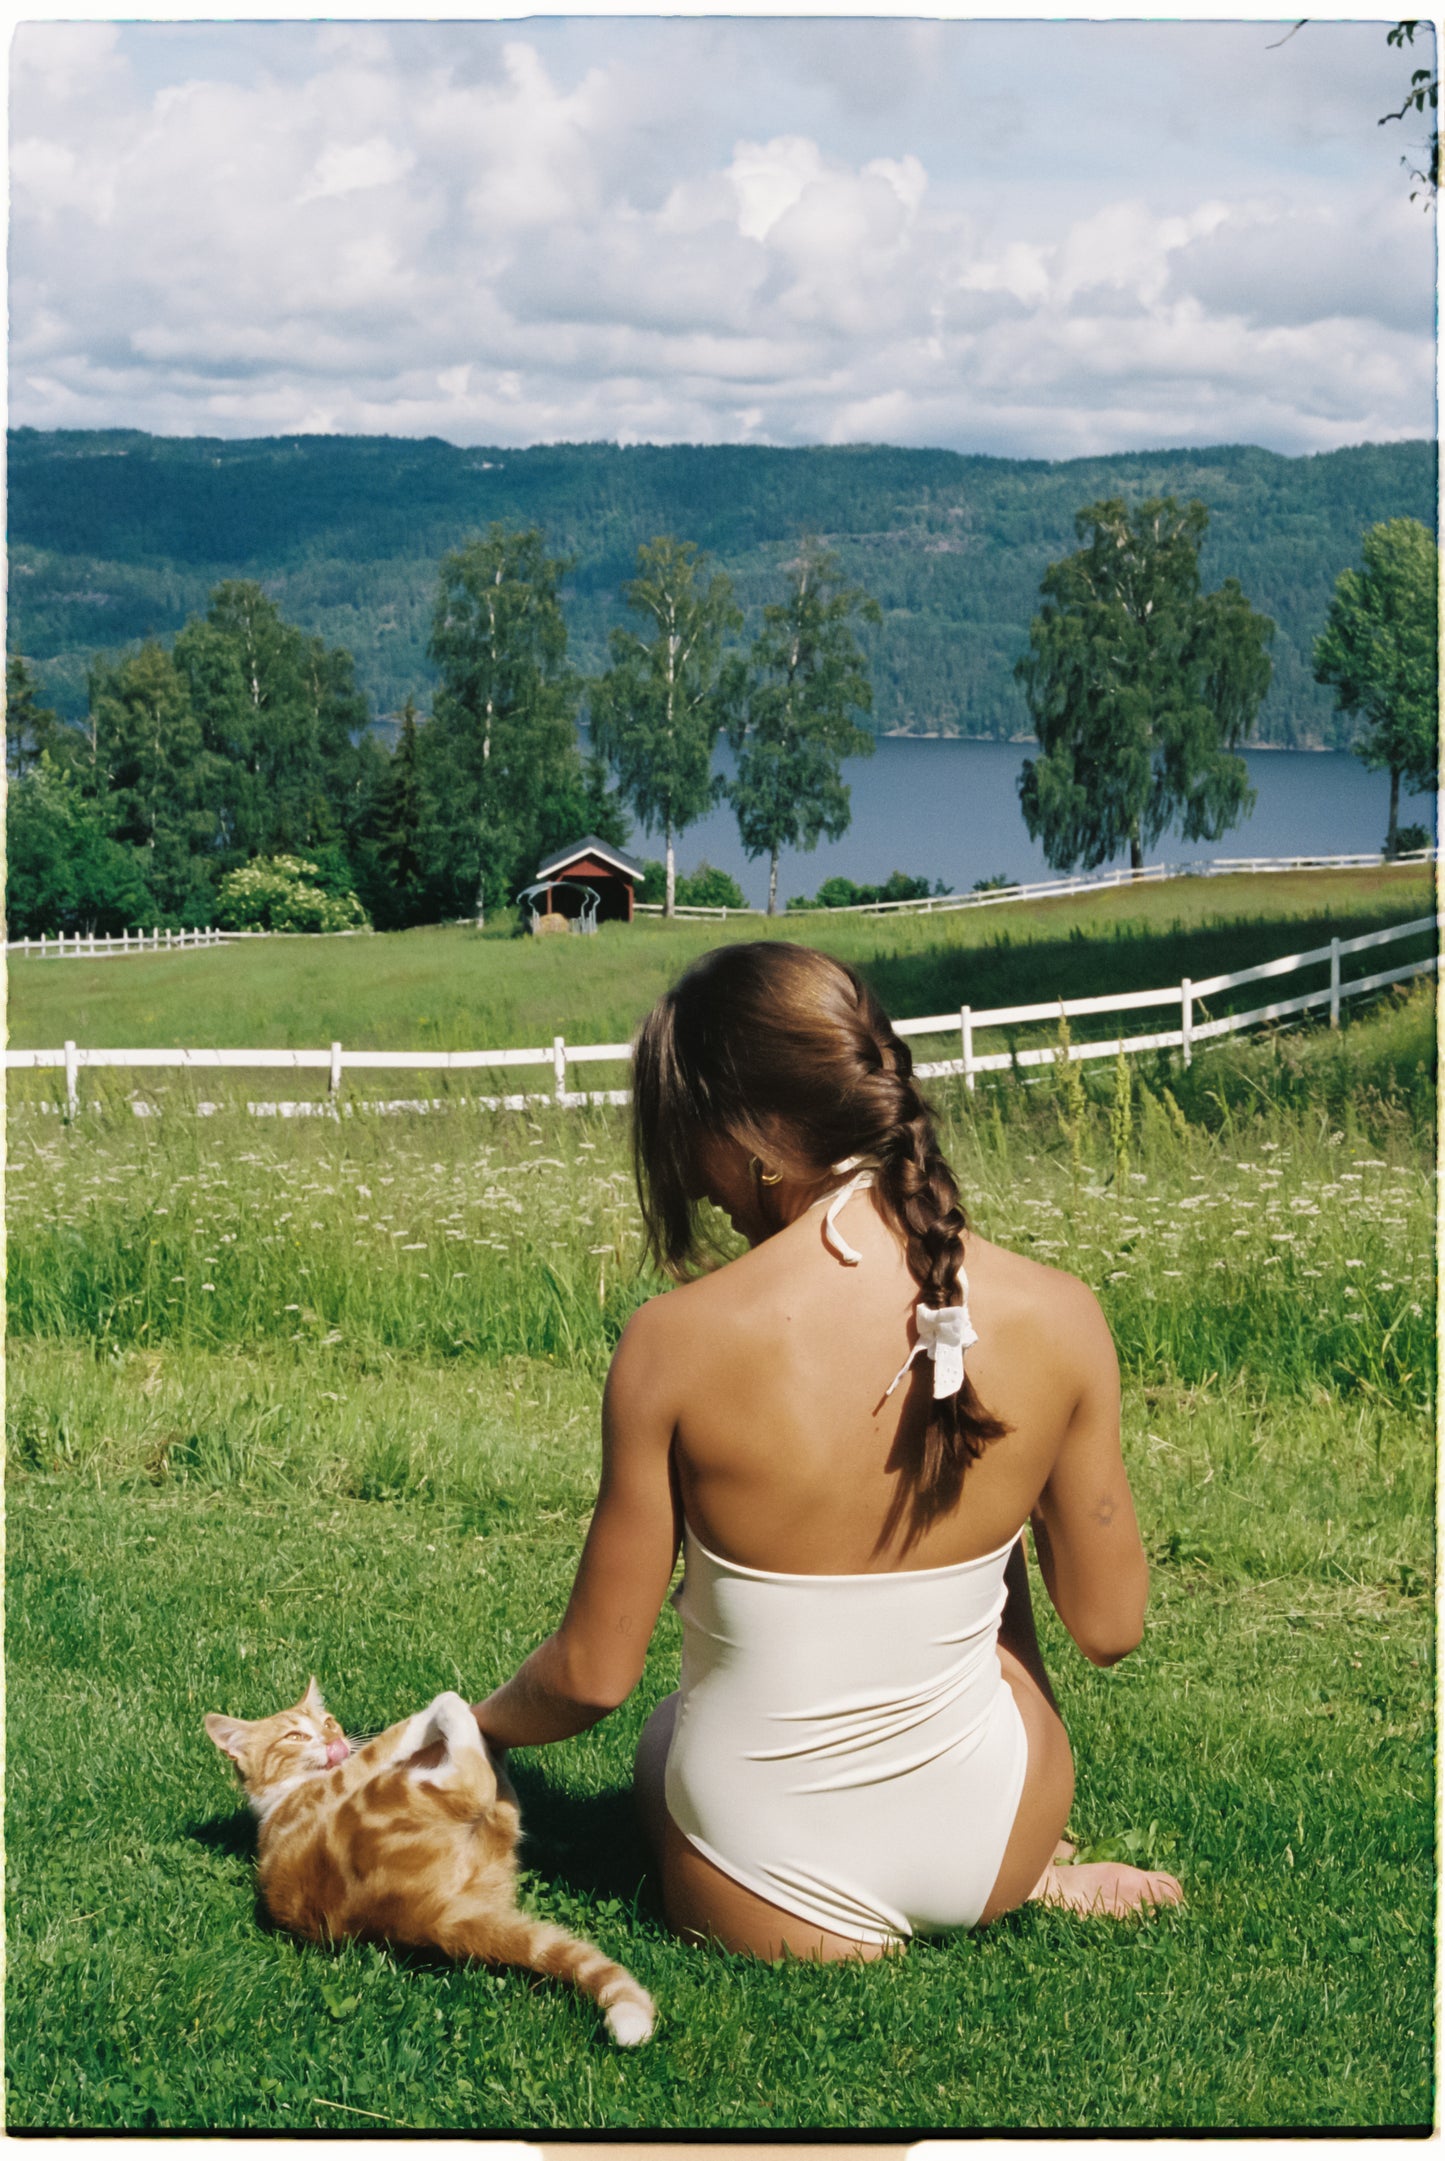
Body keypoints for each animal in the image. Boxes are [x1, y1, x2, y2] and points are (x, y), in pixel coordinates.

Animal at [203, 1676, 652, 2048]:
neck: (282, 1795)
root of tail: (427, 1914)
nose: (334, 1740)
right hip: (395, 1793)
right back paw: (457, 1716)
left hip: (492, 1840)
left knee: (499, 1792)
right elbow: (391, 1739)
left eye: (329, 1722)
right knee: (474, 1784)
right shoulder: (342, 1780)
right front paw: (440, 1708)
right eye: (295, 1734)